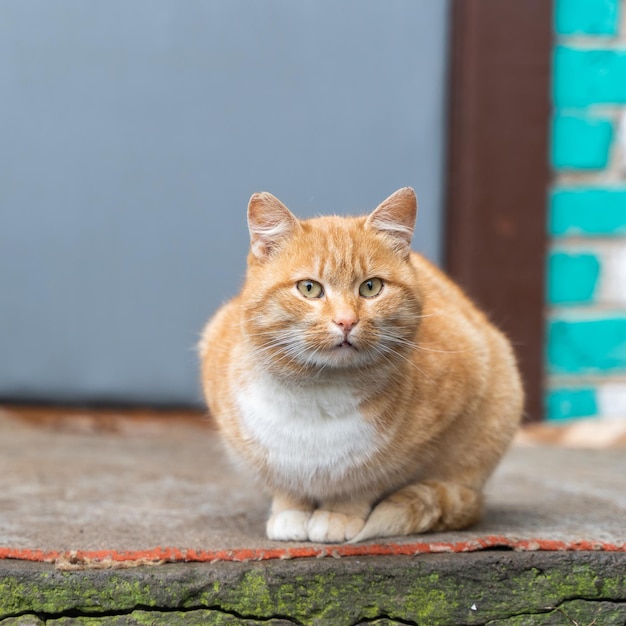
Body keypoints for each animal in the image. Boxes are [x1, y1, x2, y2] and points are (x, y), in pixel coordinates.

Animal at [200, 186, 520, 540]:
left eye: (371, 287)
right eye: (309, 288)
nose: (346, 321)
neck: (319, 392)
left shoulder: (418, 445)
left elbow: (366, 480)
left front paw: (339, 514)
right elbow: (283, 481)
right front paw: (290, 512)